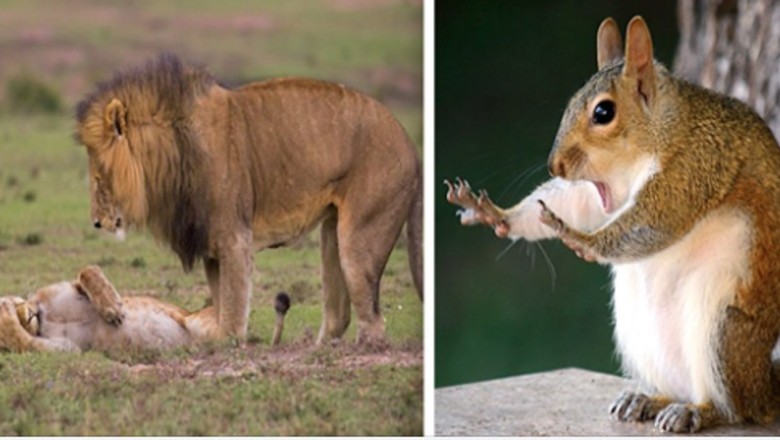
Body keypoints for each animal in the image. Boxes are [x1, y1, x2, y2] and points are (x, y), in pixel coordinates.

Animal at [76, 55, 424, 344]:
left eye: (99, 178)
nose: (95, 222)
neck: (173, 154)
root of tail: (409, 142)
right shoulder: (211, 249)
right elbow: (221, 306)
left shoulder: (234, 239)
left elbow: (231, 315)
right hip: (332, 234)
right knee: (339, 314)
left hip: (360, 236)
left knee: (374, 322)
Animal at [448, 15, 780, 432]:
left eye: (603, 113)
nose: (555, 166)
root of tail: (764, 388)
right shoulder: (598, 192)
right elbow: (573, 201)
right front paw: (497, 214)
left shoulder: (695, 166)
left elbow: (656, 220)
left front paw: (581, 239)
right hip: (638, 332)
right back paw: (647, 399)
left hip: (722, 332)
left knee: (733, 407)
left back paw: (697, 411)